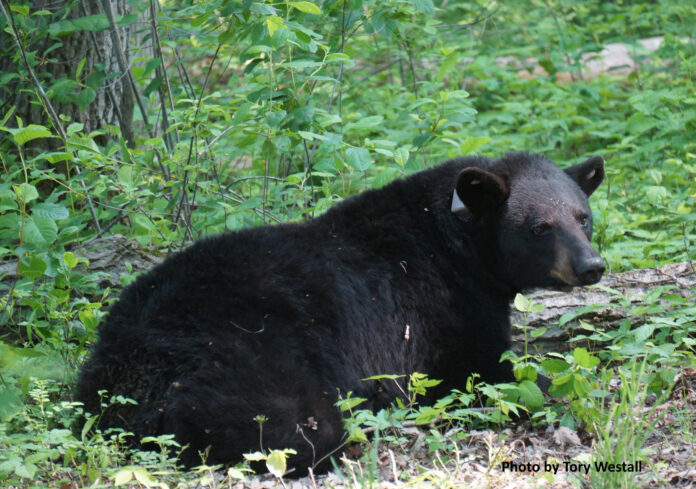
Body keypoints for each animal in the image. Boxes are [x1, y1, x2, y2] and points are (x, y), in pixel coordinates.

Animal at [77, 151, 605, 473]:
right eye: (540, 227)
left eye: (583, 217)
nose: (591, 266)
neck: (457, 242)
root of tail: (131, 374)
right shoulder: (439, 311)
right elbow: (485, 372)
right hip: (247, 357)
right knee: (297, 430)